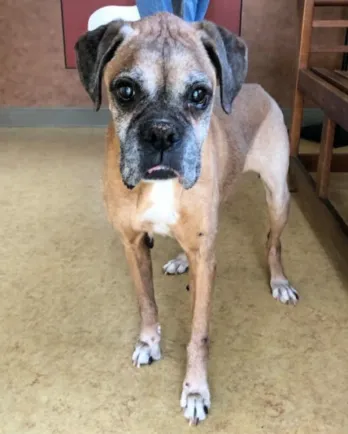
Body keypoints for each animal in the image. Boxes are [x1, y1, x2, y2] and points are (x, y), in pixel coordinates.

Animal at [75, 11, 298, 426]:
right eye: (125, 90)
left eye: (199, 94)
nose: (162, 133)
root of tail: (258, 87)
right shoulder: (133, 244)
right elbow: (147, 302)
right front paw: (149, 342)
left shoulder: (207, 261)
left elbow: (199, 334)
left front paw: (195, 390)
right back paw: (180, 261)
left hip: (278, 197)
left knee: (273, 243)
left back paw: (278, 281)